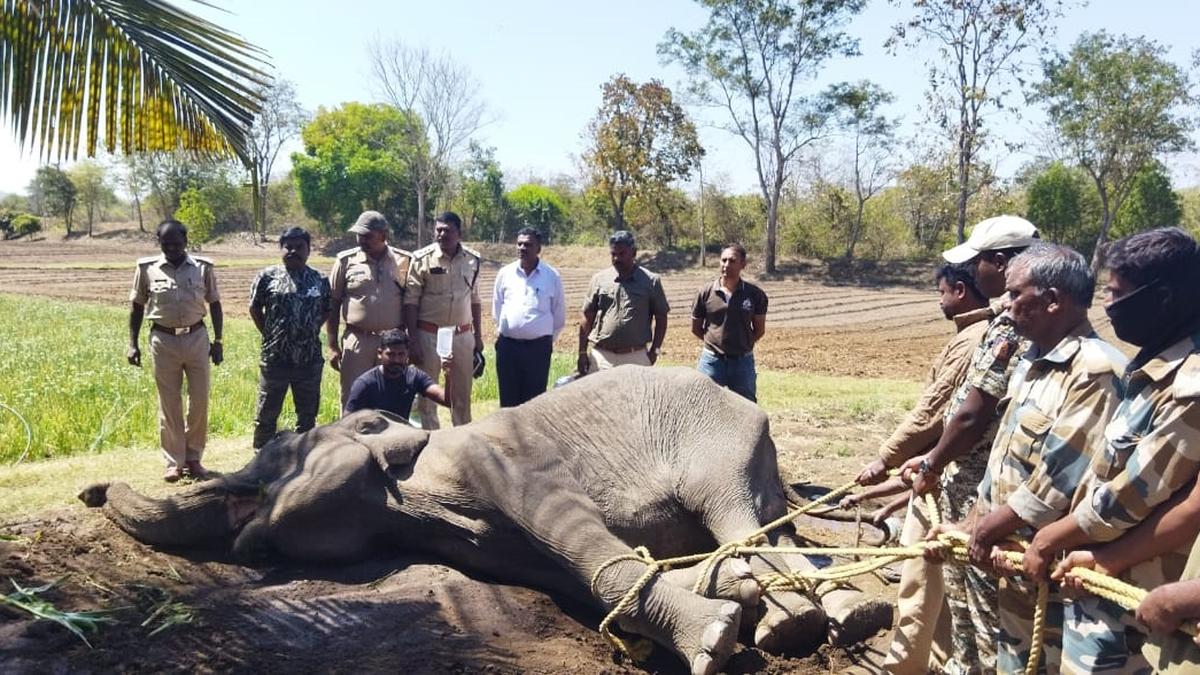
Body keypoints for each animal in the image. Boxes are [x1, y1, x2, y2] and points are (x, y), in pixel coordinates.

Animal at [79, 366, 891, 674]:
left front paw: (717, 638)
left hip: (717, 443)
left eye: (280, 454)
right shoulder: (481, 541)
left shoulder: (507, 461)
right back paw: (800, 617)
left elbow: (586, 546)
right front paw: (732, 608)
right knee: (767, 532)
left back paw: (836, 616)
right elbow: (561, 570)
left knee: (733, 514)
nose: (90, 490)